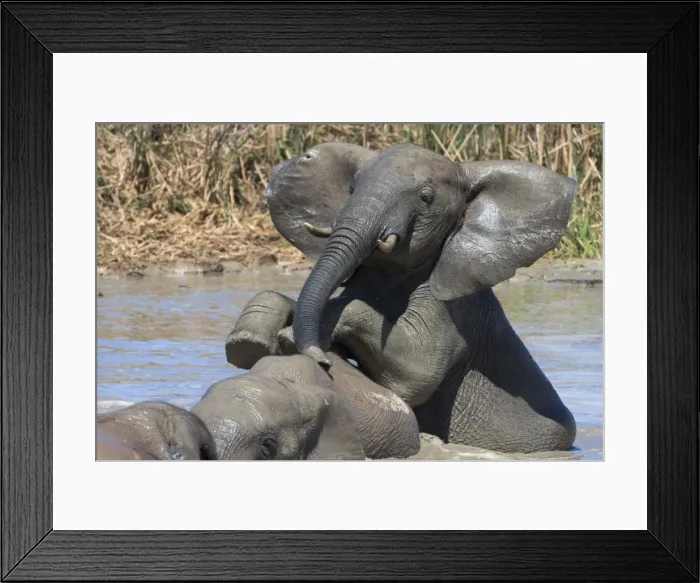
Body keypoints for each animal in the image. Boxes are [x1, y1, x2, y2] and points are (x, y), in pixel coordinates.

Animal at [227, 141, 578, 454]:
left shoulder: (455, 309)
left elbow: (417, 372)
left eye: (426, 198)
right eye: (351, 189)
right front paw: (250, 341)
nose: (321, 359)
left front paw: (293, 335)